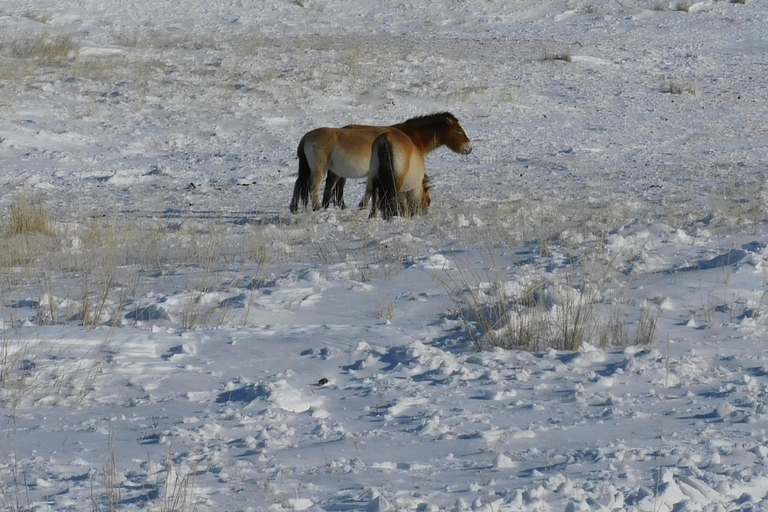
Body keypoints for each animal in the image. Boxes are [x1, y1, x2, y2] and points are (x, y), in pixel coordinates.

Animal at [288, 113, 468, 213]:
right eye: (458, 130)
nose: (469, 148)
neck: (410, 136)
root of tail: (306, 137)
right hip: (320, 169)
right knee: (314, 187)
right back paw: (317, 208)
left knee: (302, 184)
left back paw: (296, 208)